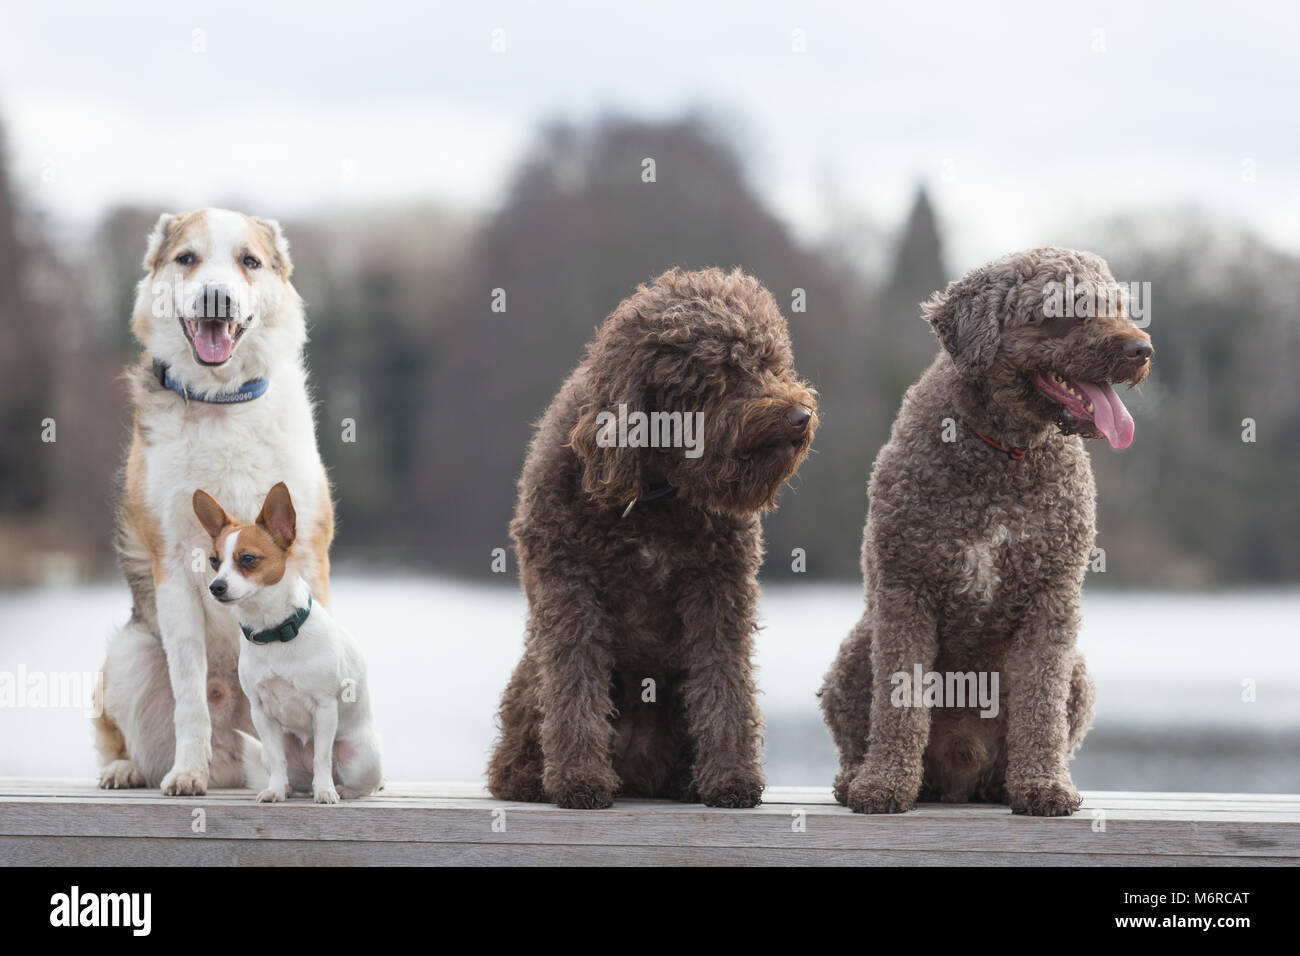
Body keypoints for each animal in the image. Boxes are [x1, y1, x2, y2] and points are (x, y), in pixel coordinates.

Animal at [93, 210, 332, 801]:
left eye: (249, 261)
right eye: (187, 259)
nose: (216, 297)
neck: (223, 401)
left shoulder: (310, 554)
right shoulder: (178, 566)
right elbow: (189, 699)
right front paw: (187, 773)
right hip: (130, 653)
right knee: (133, 738)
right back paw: (130, 769)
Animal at [193, 481, 379, 806]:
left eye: (248, 559)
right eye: (214, 561)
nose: (216, 587)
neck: (274, 632)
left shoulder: (325, 709)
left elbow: (321, 758)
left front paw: (326, 792)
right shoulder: (261, 713)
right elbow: (279, 760)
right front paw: (276, 791)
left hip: (360, 758)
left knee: (358, 780)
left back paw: (340, 788)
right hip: (273, 751)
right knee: (285, 767)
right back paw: (292, 787)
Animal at [483, 267, 816, 806]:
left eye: (771, 363)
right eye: (724, 373)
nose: (799, 416)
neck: (654, 490)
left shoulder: (718, 591)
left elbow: (725, 684)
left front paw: (731, 778)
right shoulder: (568, 588)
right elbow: (574, 684)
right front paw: (579, 779)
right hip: (528, 683)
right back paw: (529, 776)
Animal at [816, 244, 1154, 816]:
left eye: (1118, 306)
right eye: (1065, 310)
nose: (1142, 348)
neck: (1003, 456)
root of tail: (961, 769)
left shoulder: (1051, 601)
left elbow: (1040, 708)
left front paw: (1043, 785)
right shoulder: (906, 592)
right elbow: (899, 702)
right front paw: (885, 784)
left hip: (1078, 674)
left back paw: (1008, 783)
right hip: (855, 654)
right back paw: (858, 776)